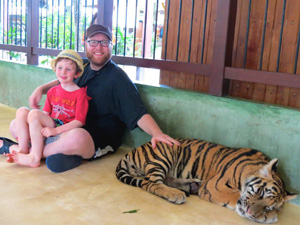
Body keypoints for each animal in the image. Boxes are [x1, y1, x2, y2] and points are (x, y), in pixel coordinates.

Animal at [116, 138, 296, 224]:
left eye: (269, 206)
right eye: (260, 192)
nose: (250, 213)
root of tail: (135, 149)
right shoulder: (215, 186)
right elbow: (235, 196)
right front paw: (269, 217)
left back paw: (189, 186)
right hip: (165, 154)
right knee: (149, 183)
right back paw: (176, 194)